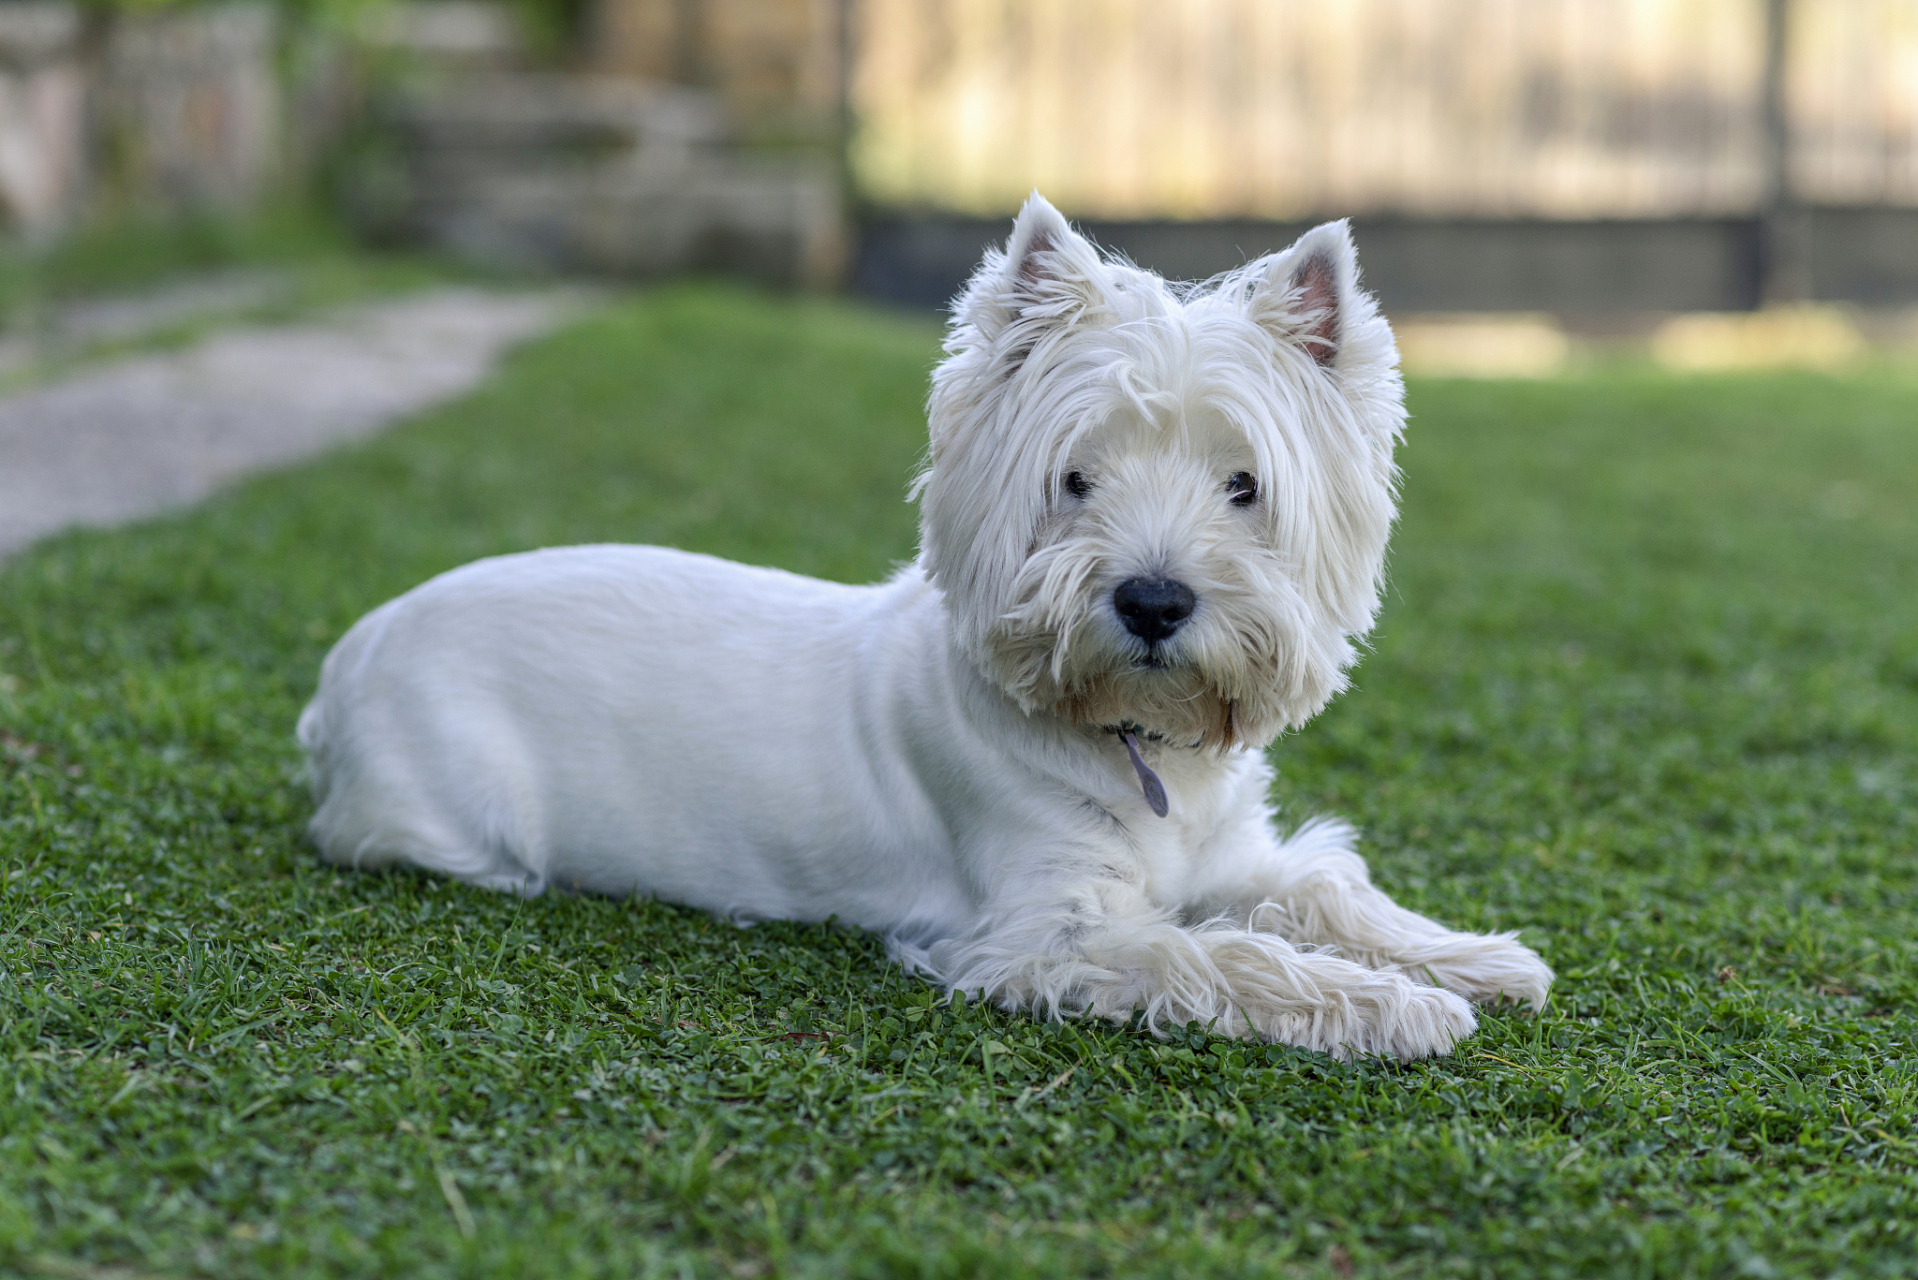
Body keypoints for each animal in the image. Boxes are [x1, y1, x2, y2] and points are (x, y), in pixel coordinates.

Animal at [303, 192, 1557, 1059]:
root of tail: (346, 659)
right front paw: (1402, 1007)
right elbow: (1228, 953)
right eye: (1074, 478)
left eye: (1244, 485)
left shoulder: (1230, 852)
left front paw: (1478, 956)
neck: (1134, 740)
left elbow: (1318, 889)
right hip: (453, 822)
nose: (1152, 599)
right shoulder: (1037, 932)